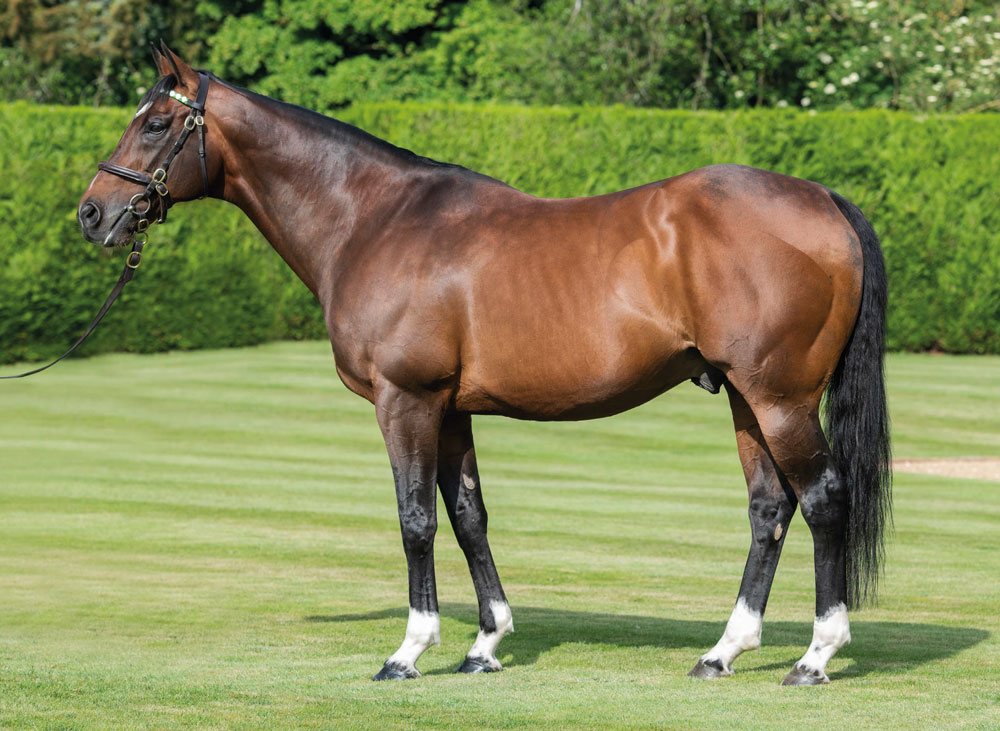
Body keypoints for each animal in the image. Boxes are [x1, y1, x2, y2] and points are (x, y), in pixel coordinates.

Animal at [78, 45, 892, 688]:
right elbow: (468, 516)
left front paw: (409, 651)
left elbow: (414, 519)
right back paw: (723, 651)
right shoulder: (452, 408)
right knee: (769, 508)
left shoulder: (405, 399)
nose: (91, 213)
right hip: (746, 400)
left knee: (822, 498)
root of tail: (822, 199)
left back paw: (815, 656)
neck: (374, 220)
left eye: (155, 124)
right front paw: (485, 644)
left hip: (780, 398)